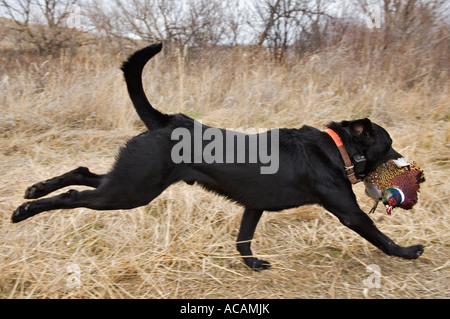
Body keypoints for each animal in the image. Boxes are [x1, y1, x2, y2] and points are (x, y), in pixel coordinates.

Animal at [11, 44, 426, 270]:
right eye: (389, 144)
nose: (414, 171)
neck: (334, 148)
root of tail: (168, 120)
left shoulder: (254, 206)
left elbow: (243, 239)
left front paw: (252, 264)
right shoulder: (349, 212)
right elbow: (380, 236)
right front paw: (408, 251)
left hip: (130, 179)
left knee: (82, 172)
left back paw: (33, 189)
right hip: (128, 192)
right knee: (73, 197)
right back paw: (24, 211)